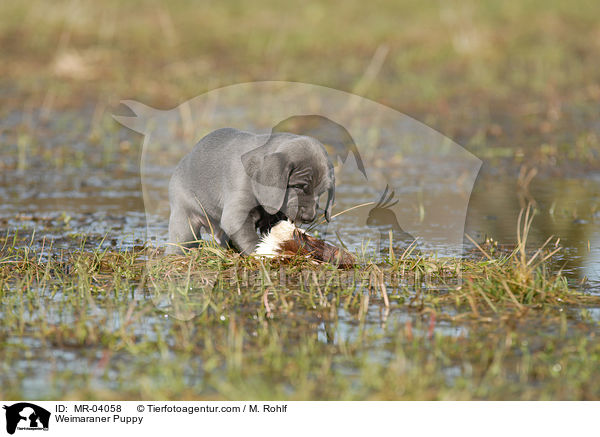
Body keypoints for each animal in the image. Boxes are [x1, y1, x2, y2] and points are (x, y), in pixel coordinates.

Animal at [166, 127, 336, 254]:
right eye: (298, 186)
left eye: (321, 192)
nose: (309, 217)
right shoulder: (236, 214)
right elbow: (249, 238)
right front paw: (262, 253)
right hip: (184, 220)